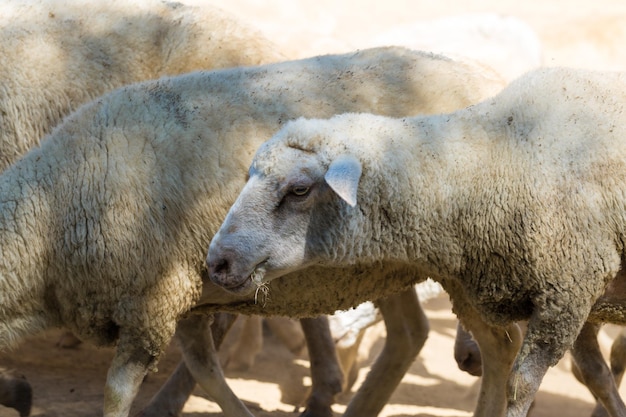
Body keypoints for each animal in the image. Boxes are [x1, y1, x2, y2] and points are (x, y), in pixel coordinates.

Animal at [0, 45, 508, 416]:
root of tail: (483, 78)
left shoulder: (153, 301)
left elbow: (118, 390)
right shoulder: (187, 296)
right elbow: (206, 371)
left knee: (498, 348)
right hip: (385, 266)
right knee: (410, 334)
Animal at [206, 66, 626, 416]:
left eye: (299, 190)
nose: (217, 262)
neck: (491, 161)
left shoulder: (567, 295)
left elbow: (521, 386)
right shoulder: (569, 301)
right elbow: (592, 373)